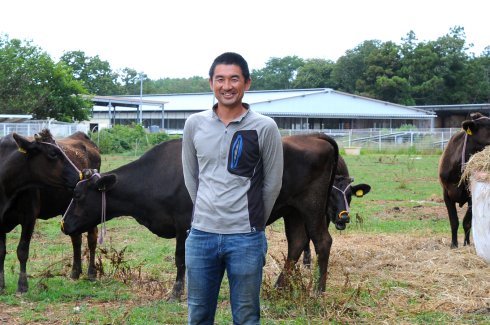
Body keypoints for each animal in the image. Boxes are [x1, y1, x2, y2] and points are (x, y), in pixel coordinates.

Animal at [0, 128, 100, 292]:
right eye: (53, 154)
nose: (81, 175)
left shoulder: (29, 217)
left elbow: (22, 250)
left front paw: (22, 285)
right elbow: (1, 252)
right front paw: (1, 285)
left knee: (92, 237)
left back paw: (91, 273)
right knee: (76, 238)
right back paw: (75, 272)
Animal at [60, 133, 336, 298]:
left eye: (78, 196)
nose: (63, 225)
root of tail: (313, 137)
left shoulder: (184, 222)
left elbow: (181, 259)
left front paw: (176, 292)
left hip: (311, 207)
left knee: (322, 242)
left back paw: (319, 291)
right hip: (293, 211)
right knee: (297, 243)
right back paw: (279, 287)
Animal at [438, 112, 490, 247]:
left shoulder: (471, 196)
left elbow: (467, 222)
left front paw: (466, 243)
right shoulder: (446, 194)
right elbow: (453, 221)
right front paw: (453, 244)